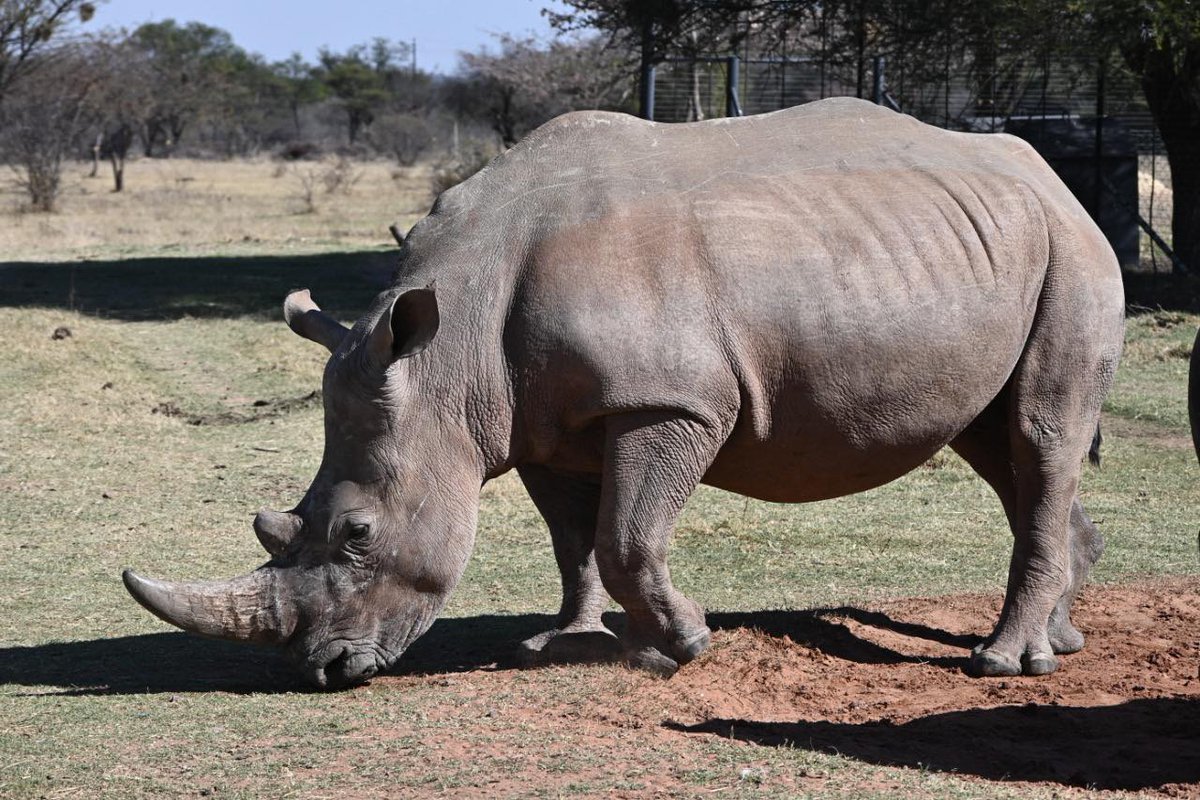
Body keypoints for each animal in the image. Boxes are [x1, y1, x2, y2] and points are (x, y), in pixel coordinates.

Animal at [124, 98, 1124, 688]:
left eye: (358, 535)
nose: (326, 670)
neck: (450, 351)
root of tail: (1051, 175)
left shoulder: (670, 401)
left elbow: (628, 533)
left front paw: (683, 648)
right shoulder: (530, 416)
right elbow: (575, 541)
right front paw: (570, 645)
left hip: (1073, 254)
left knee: (1039, 434)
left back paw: (1005, 666)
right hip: (992, 247)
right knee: (1003, 448)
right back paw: (1063, 641)